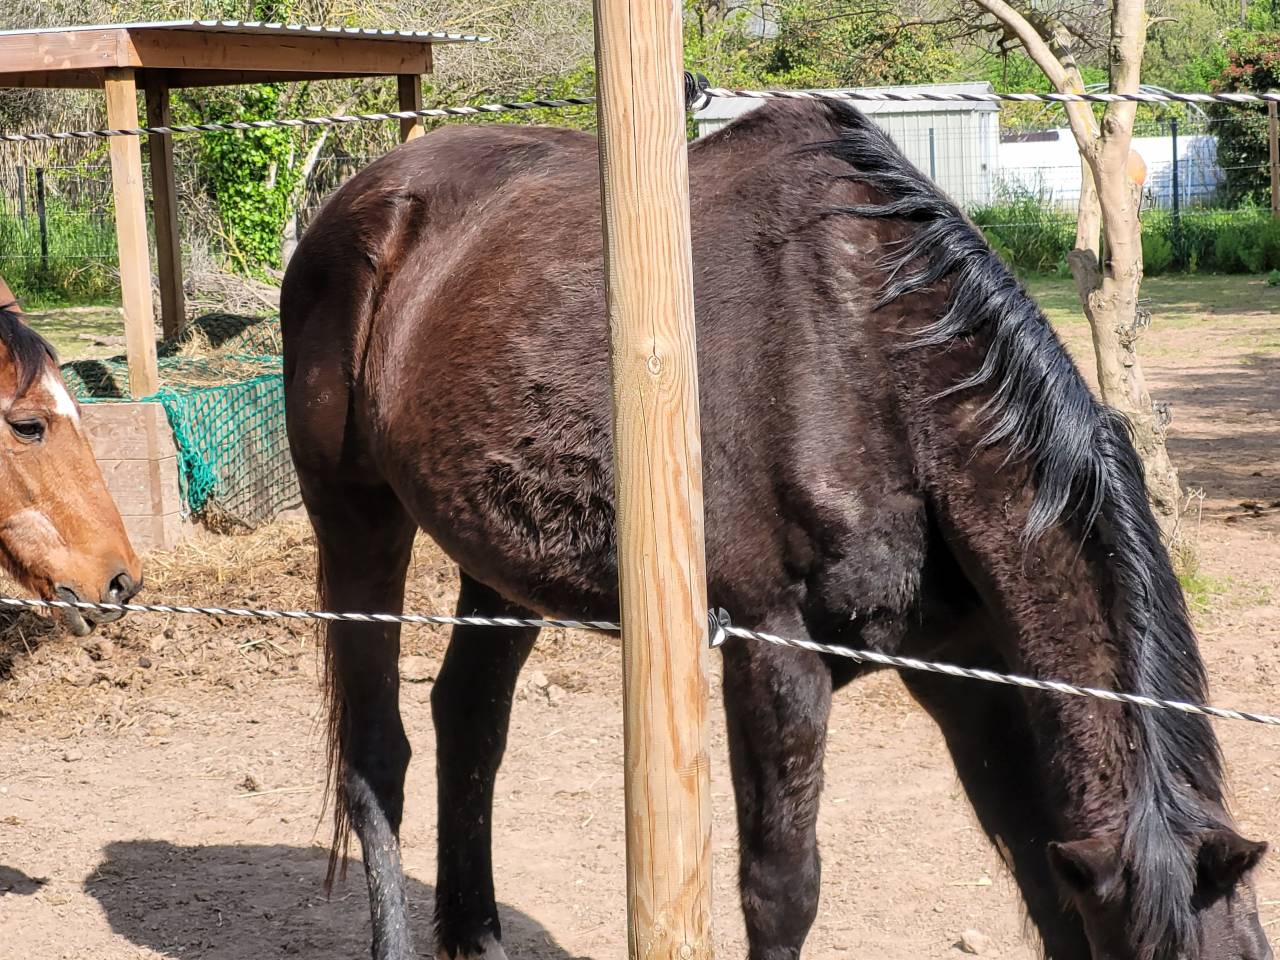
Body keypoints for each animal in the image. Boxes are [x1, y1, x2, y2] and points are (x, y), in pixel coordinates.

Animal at [281, 99, 1270, 960]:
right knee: (377, 758)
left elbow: (1039, 877)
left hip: (500, 564)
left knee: (471, 722)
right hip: (356, 520)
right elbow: (781, 889)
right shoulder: (773, 650)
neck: (877, 367)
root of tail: (365, 197)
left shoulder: (966, 673)